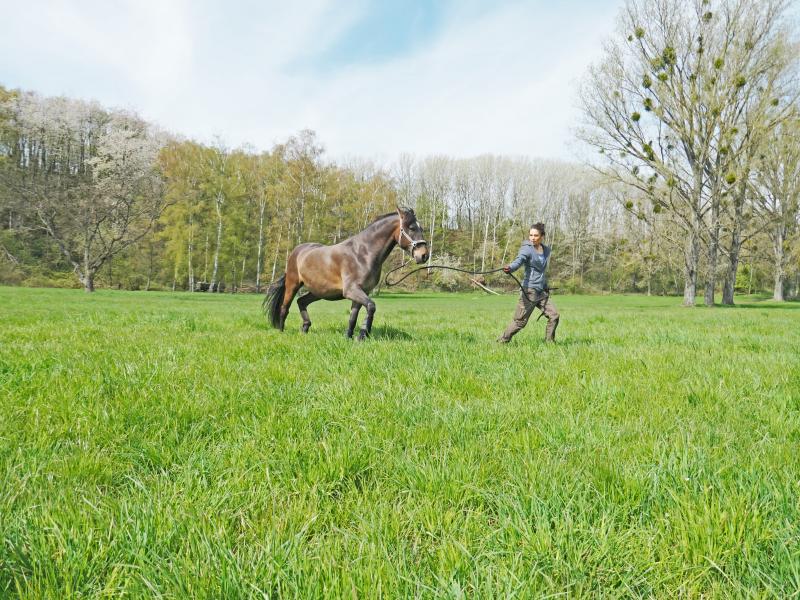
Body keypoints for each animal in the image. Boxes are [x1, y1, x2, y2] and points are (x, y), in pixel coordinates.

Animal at [264, 207, 428, 340]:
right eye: (411, 227)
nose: (424, 255)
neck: (362, 254)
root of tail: (297, 251)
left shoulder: (362, 292)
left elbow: (353, 317)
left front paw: (349, 337)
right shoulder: (351, 290)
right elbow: (371, 306)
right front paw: (362, 335)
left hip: (319, 291)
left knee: (301, 301)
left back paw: (305, 328)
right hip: (293, 285)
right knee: (285, 307)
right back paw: (282, 331)